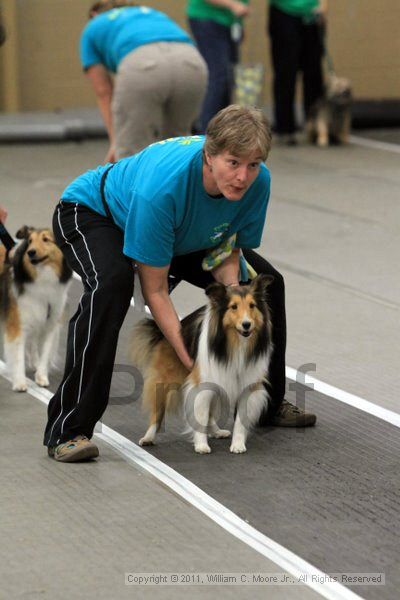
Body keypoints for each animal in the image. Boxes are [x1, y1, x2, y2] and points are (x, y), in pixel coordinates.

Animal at [0, 227, 72, 392]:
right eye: (30, 241)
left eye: (46, 239)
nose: (30, 252)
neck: (42, 279)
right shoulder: (18, 323)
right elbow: (18, 355)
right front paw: (20, 382)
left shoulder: (50, 322)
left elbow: (45, 353)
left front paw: (42, 376)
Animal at [130, 274, 272, 452]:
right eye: (233, 307)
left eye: (252, 305)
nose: (246, 324)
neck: (237, 344)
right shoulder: (202, 384)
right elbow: (201, 415)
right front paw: (201, 445)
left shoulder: (247, 386)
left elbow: (240, 420)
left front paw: (238, 445)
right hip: (165, 380)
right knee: (158, 411)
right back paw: (148, 437)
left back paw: (217, 431)